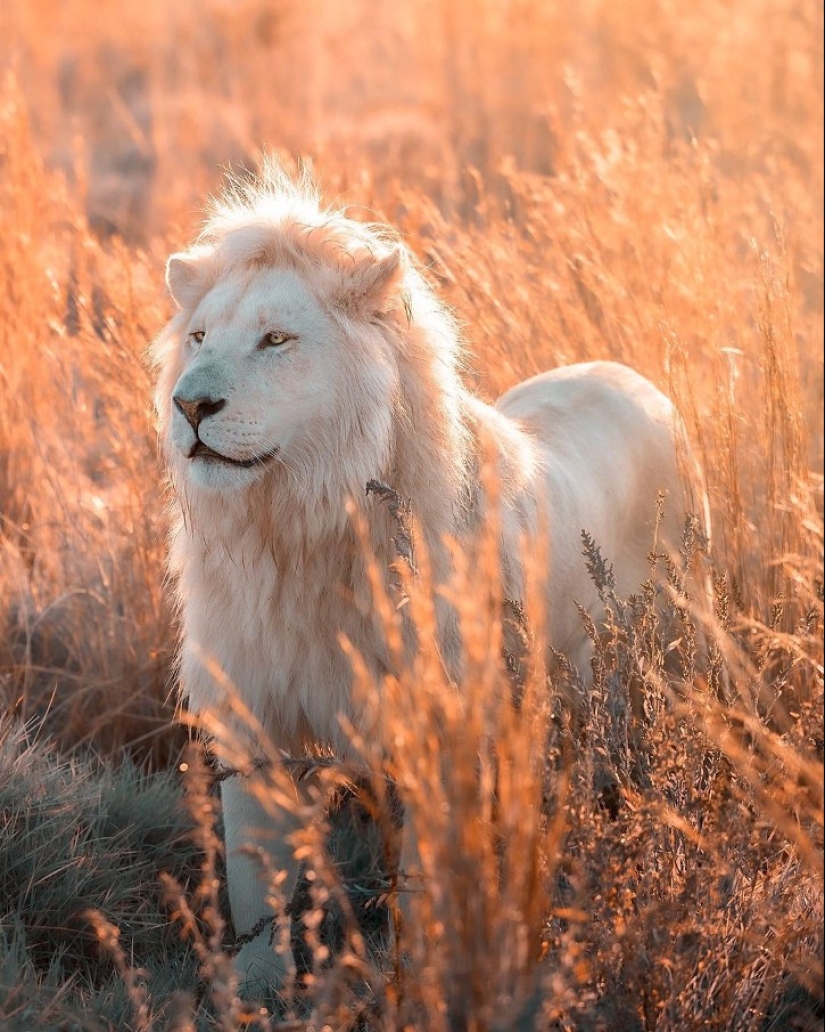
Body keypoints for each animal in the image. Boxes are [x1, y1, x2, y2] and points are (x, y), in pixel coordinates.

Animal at [152, 160, 702, 990]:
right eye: (198, 338)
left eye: (276, 339)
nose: (190, 405)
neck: (299, 533)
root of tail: (630, 376)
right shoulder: (254, 716)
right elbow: (254, 884)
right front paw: (255, 992)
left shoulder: (441, 730)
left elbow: (421, 881)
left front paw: (418, 980)